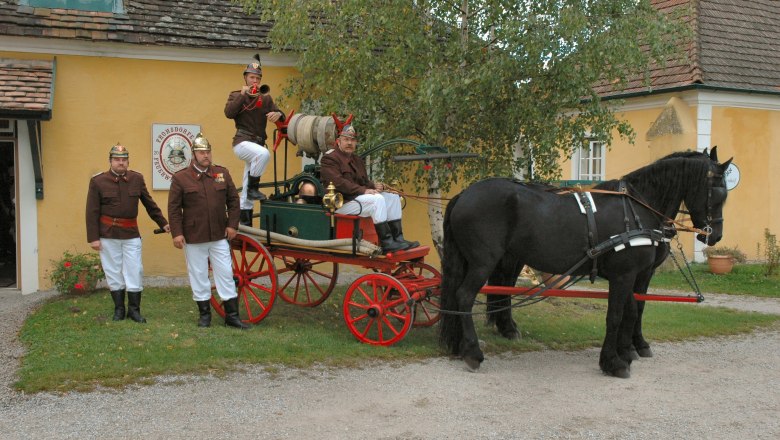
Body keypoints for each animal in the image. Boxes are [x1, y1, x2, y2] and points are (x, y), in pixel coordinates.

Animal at [438, 148, 732, 378]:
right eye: (718, 193)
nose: (715, 235)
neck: (637, 208)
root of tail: (464, 194)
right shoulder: (625, 274)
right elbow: (616, 316)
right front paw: (613, 361)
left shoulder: (633, 274)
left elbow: (632, 311)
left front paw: (628, 351)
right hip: (483, 262)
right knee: (465, 296)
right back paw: (473, 351)